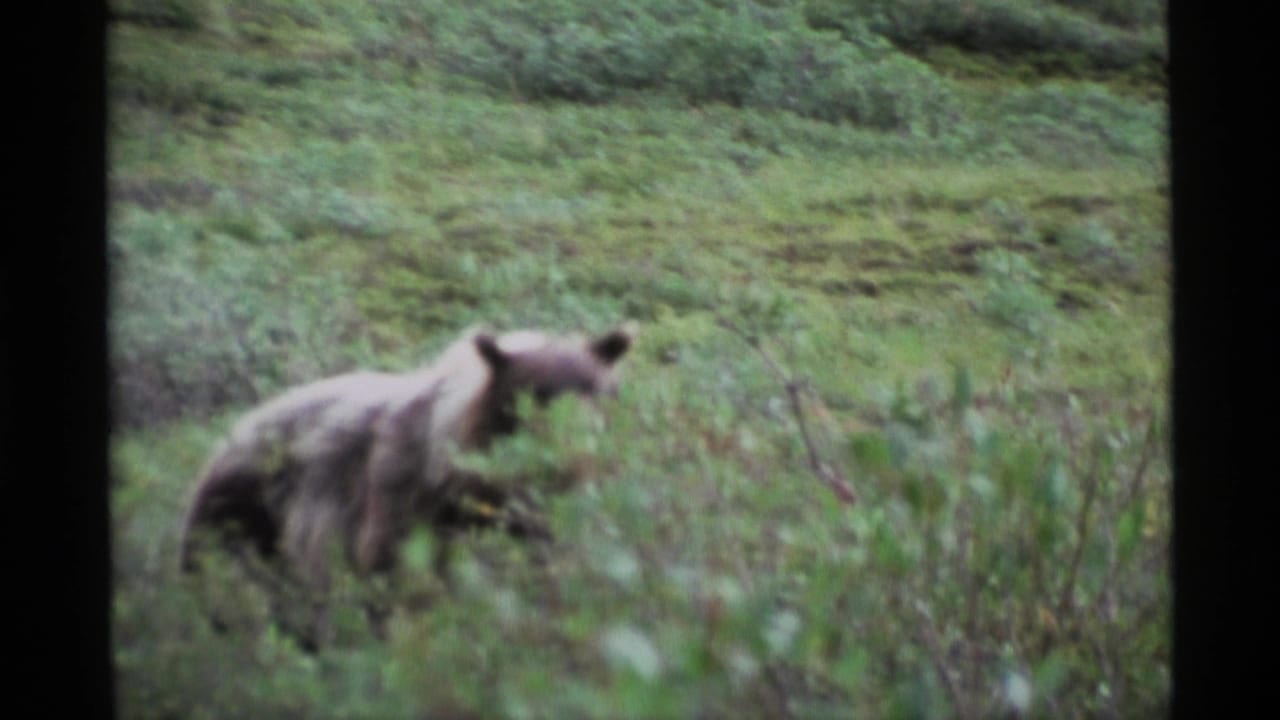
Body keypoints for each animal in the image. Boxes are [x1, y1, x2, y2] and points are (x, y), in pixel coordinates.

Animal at [178, 325, 633, 642]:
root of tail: (235, 428)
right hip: (247, 513)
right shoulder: (403, 500)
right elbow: (394, 573)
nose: (576, 451)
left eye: (598, 389)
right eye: (536, 394)